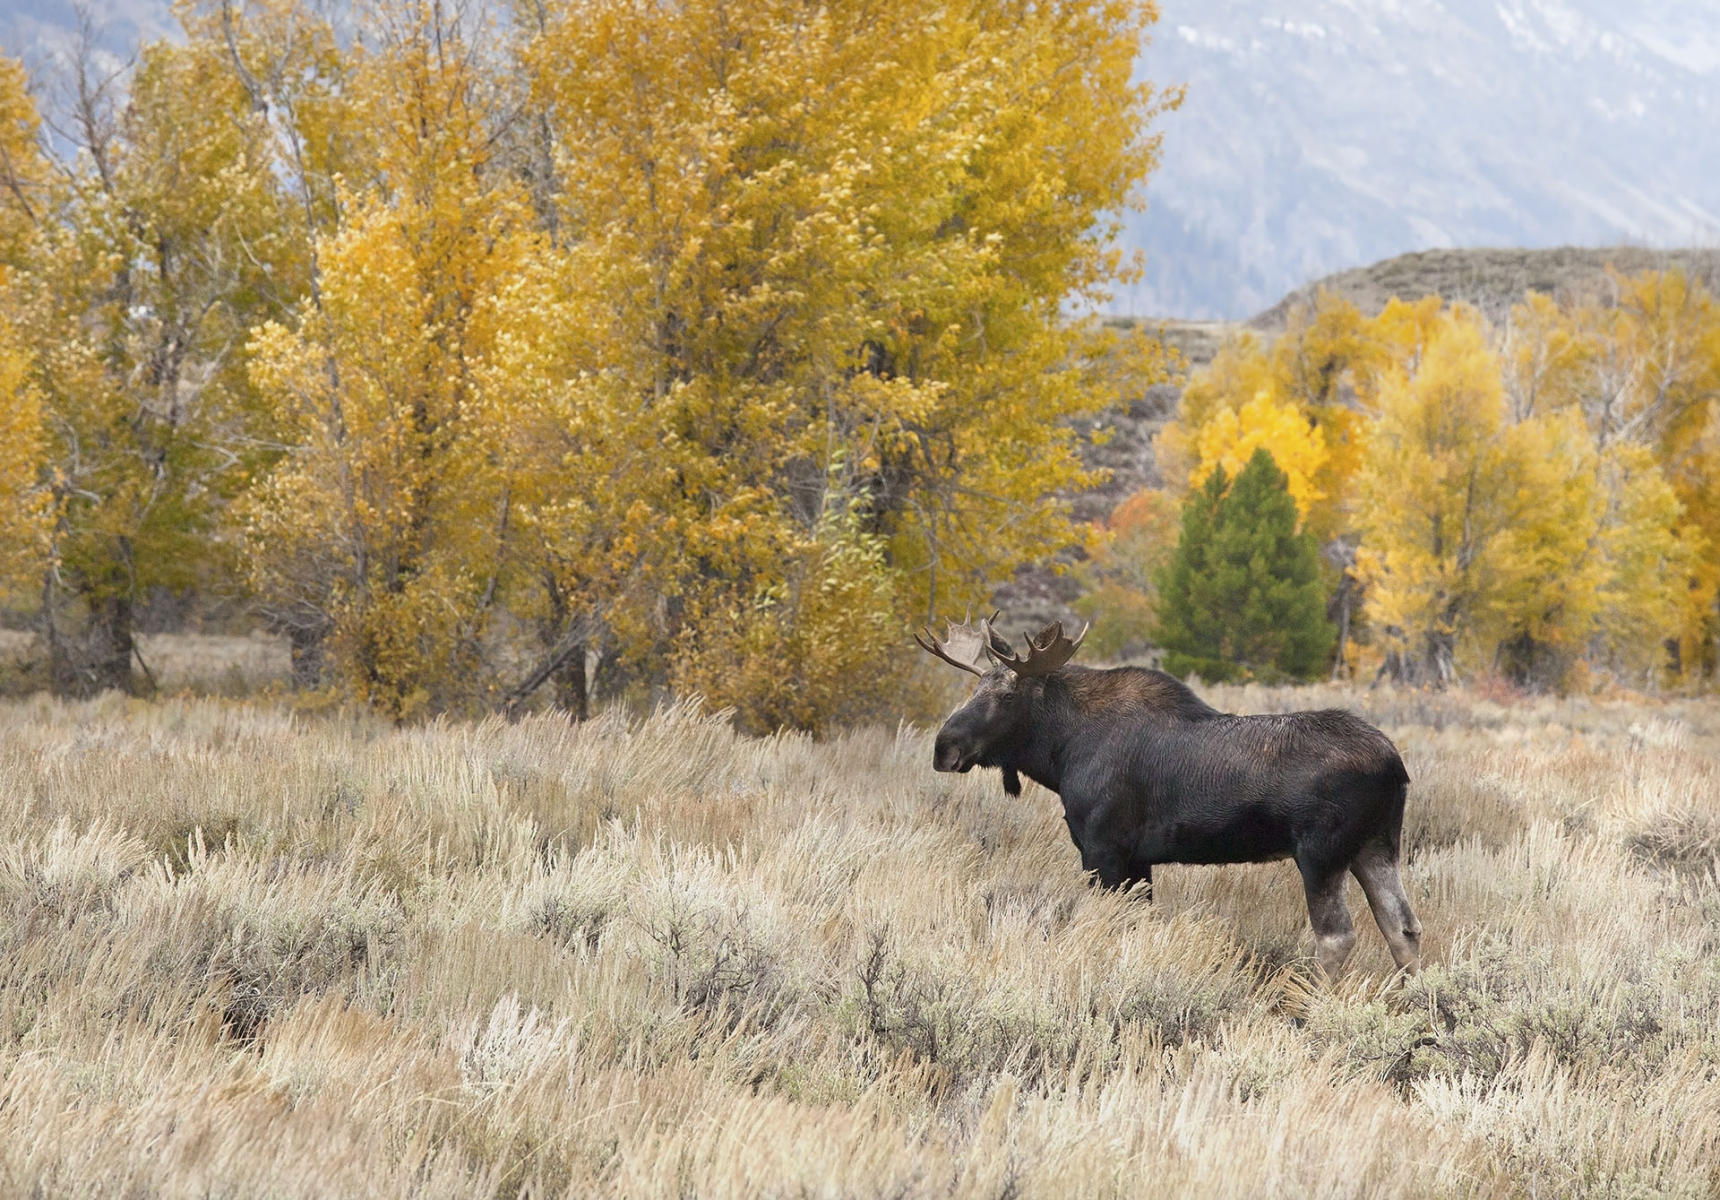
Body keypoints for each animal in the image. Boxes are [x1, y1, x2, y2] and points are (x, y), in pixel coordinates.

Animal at [921, 612, 1417, 976]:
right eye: (974, 687)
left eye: (1007, 697)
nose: (944, 746)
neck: (1061, 752)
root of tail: (1395, 766)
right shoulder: (1137, 860)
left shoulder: (1103, 849)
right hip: (1376, 846)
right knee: (1403, 928)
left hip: (1321, 853)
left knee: (1337, 937)